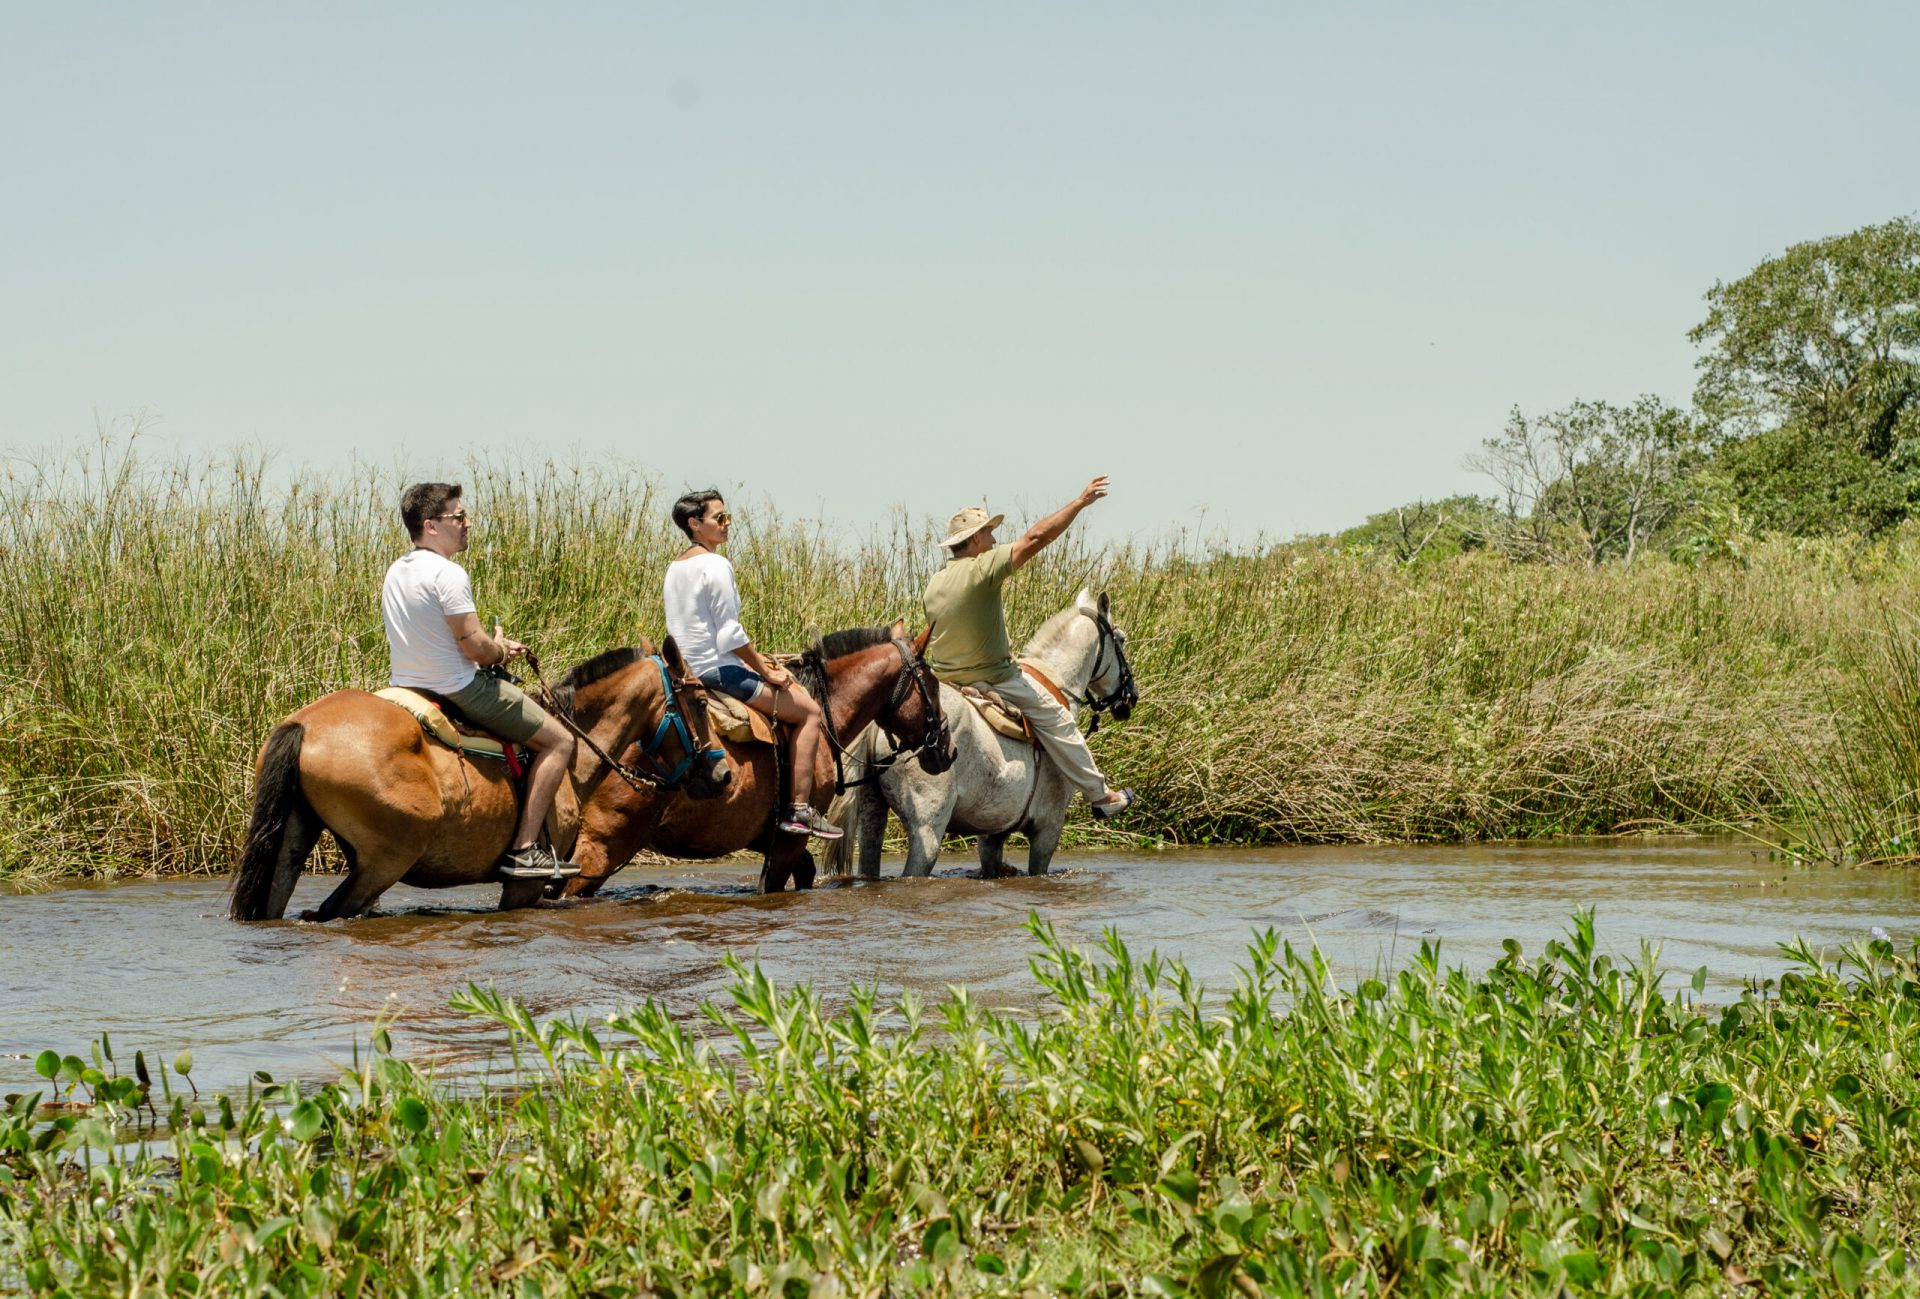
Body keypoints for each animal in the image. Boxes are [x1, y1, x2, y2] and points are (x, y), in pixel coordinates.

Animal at [230, 637, 725, 921]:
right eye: (702, 702)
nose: (720, 774)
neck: (573, 751)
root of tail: (304, 724)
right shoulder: (525, 886)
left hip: (293, 842)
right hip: (383, 862)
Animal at [568, 625, 960, 890]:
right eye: (933, 685)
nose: (948, 748)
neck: (823, 712)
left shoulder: (765, 835)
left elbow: (805, 871)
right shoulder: (789, 840)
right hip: (602, 849)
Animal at [817, 590, 1128, 874]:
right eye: (1122, 639)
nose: (1130, 698)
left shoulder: (992, 833)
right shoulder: (1048, 829)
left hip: (872, 816)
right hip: (928, 829)